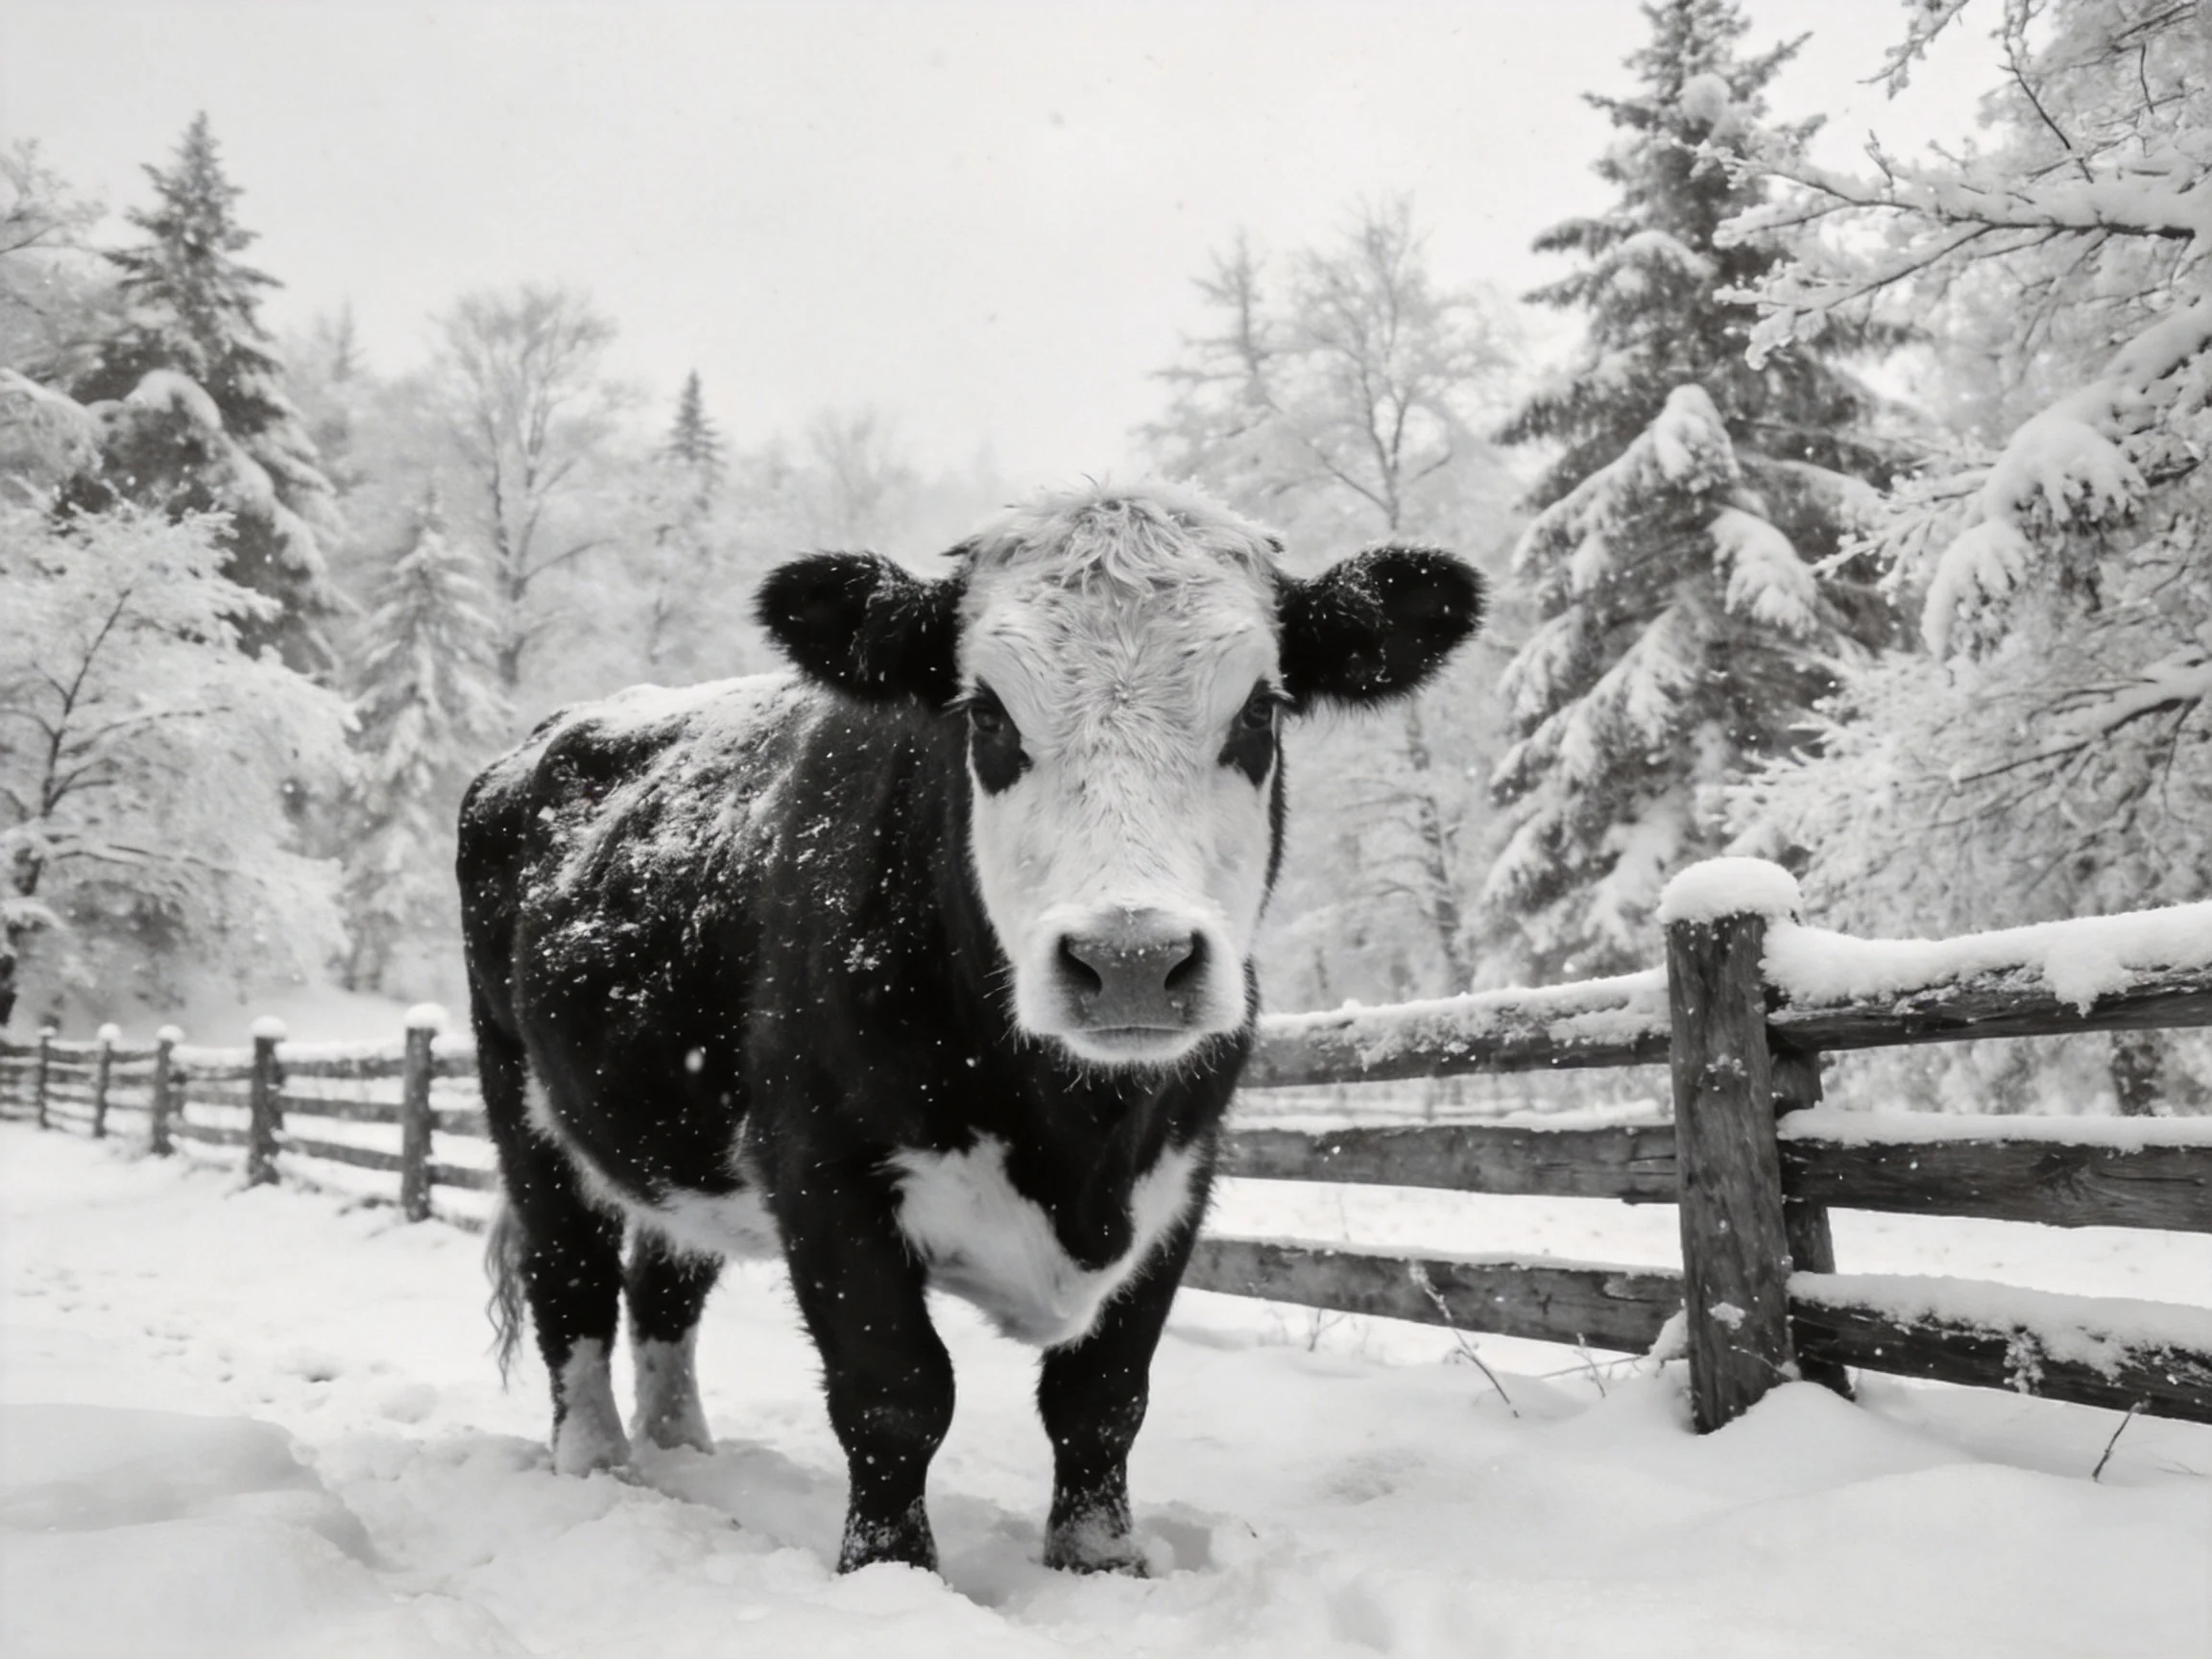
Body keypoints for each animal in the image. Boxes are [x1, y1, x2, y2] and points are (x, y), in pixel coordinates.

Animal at [457, 484, 1483, 1576]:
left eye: (1260, 707)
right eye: (986, 712)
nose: (1131, 958)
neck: (1077, 1142)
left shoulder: (1182, 1172)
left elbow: (1101, 1397)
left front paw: (1099, 1561)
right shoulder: (820, 1165)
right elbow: (895, 1390)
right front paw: (889, 1571)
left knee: (665, 1287)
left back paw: (684, 1448)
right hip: (525, 1106)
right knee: (570, 1285)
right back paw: (598, 1462)